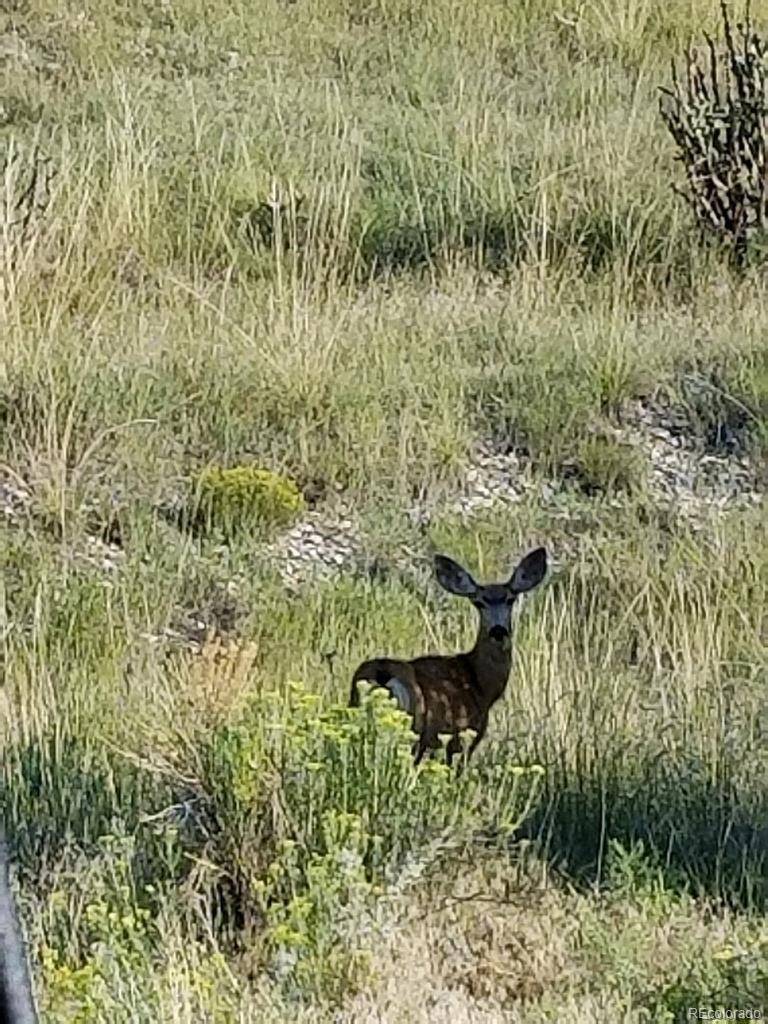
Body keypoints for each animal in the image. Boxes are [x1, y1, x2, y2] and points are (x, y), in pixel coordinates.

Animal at [352, 548, 548, 765]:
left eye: (510, 599)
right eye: (479, 602)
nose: (498, 631)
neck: (480, 684)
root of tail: (382, 675)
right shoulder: (463, 738)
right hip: (414, 729)